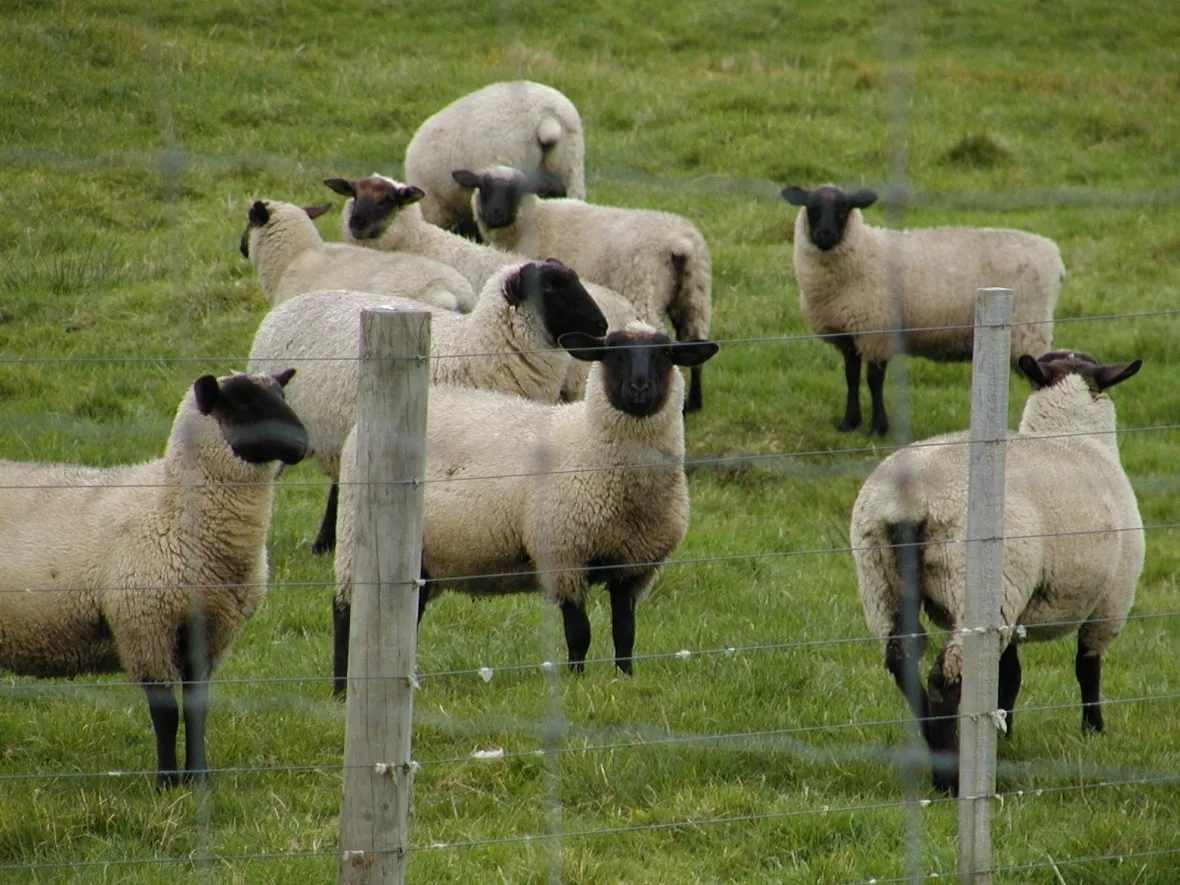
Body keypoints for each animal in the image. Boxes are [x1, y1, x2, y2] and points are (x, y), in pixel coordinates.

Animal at [0, 370, 309, 788]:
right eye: (242, 403)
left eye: (281, 395)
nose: (302, 444)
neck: (172, 508)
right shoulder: (144, 625)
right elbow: (166, 714)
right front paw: (166, 783)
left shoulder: (209, 631)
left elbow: (197, 709)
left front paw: (199, 780)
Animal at [332, 324, 720, 695]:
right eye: (612, 352)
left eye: (666, 354)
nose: (639, 388)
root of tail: (359, 428)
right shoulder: (564, 555)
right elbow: (579, 633)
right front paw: (576, 681)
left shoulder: (634, 566)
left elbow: (625, 633)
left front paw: (623, 679)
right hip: (354, 536)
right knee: (344, 613)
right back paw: (340, 689)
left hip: (424, 563)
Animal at [452, 165, 714, 412]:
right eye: (483, 186)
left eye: (516, 190)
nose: (495, 214)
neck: (534, 219)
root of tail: (680, 243)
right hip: (695, 294)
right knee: (695, 342)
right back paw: (693, 404)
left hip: (645, 290)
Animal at [781, 184, 1065, 436]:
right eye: (812, 207)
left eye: (844, 208)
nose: (825, 234)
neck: (863, 253)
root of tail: (1053, 255)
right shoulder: (849, 335)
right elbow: (851, 377)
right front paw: (849, 423)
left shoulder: (877, 332)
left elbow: (874, 380)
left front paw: (877, 428)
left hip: (1029, 330)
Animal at [849, 350, 1144, 793]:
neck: (1073, 437)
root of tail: (909, 503)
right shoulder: (1112, 600)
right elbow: (1087, 668)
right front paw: (1094, 730)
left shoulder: (1020, 610)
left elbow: (1010, 675)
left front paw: (1003, 733)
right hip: (983, 586)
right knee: (944, 679)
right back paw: (948, 778)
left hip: (880, 581)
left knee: (902, 663)